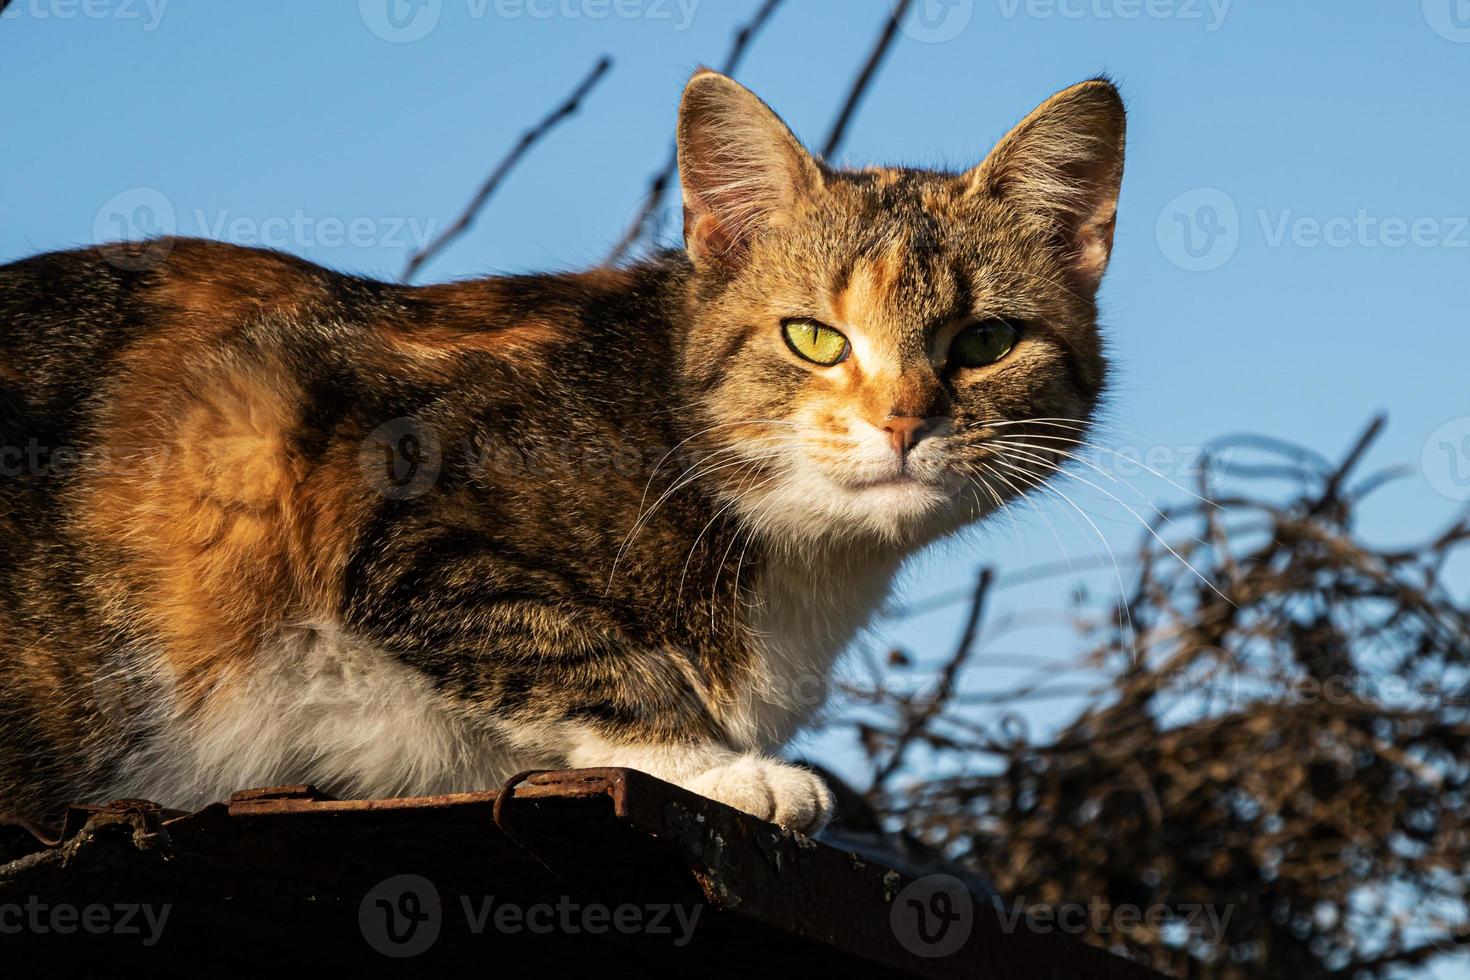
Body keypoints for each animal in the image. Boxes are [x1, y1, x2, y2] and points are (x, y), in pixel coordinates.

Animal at [0, 70, 1123, 834]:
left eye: (984, 342)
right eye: (813, 337)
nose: (903, 420)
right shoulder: (356, 475)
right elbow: (585, 644)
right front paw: (725, 768)